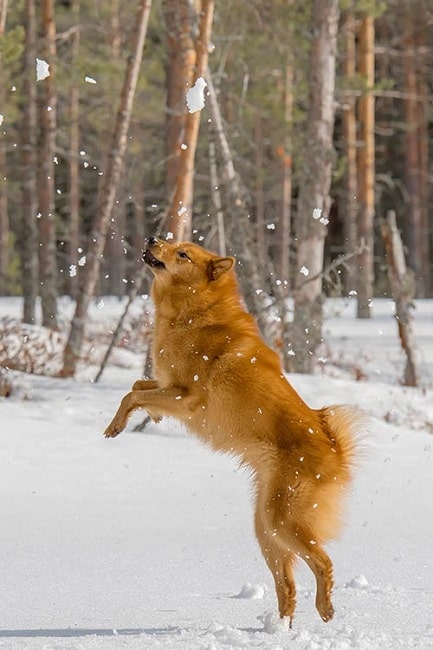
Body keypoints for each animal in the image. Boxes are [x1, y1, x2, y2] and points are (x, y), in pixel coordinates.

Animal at [104, 235, 358, 624]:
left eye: (182, 253)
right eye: (173, 242)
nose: (152, 238)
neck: (193, 314)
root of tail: (335, 450)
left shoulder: (186, 397)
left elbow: (132, 392)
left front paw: (117, 425)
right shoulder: (168, 386)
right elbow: (137, 386)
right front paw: (138, 420)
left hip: (281, 521)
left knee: (322, 562)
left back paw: (324, 607)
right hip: (265, 527)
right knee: (288, 585)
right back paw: (280, 629)